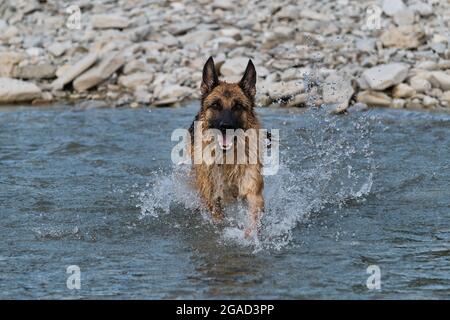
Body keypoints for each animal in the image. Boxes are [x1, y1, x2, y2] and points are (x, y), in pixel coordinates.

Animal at [189, 57, 264, 238]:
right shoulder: (211, 196)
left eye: (237, 106)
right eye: (216, 105)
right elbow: (217, 215)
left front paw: (250, 235)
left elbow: (254, 214)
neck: (227, 159)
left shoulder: (252, 189)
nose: (226, 126)